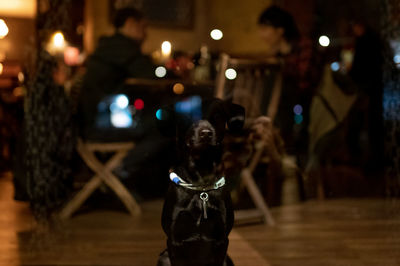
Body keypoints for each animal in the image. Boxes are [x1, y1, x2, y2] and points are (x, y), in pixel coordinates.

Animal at [156, 97, 244, 266]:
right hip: (163, 257)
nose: (206, 134)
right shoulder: (174, 240)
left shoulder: (221, 240)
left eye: (217, 116)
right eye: (188, 114)